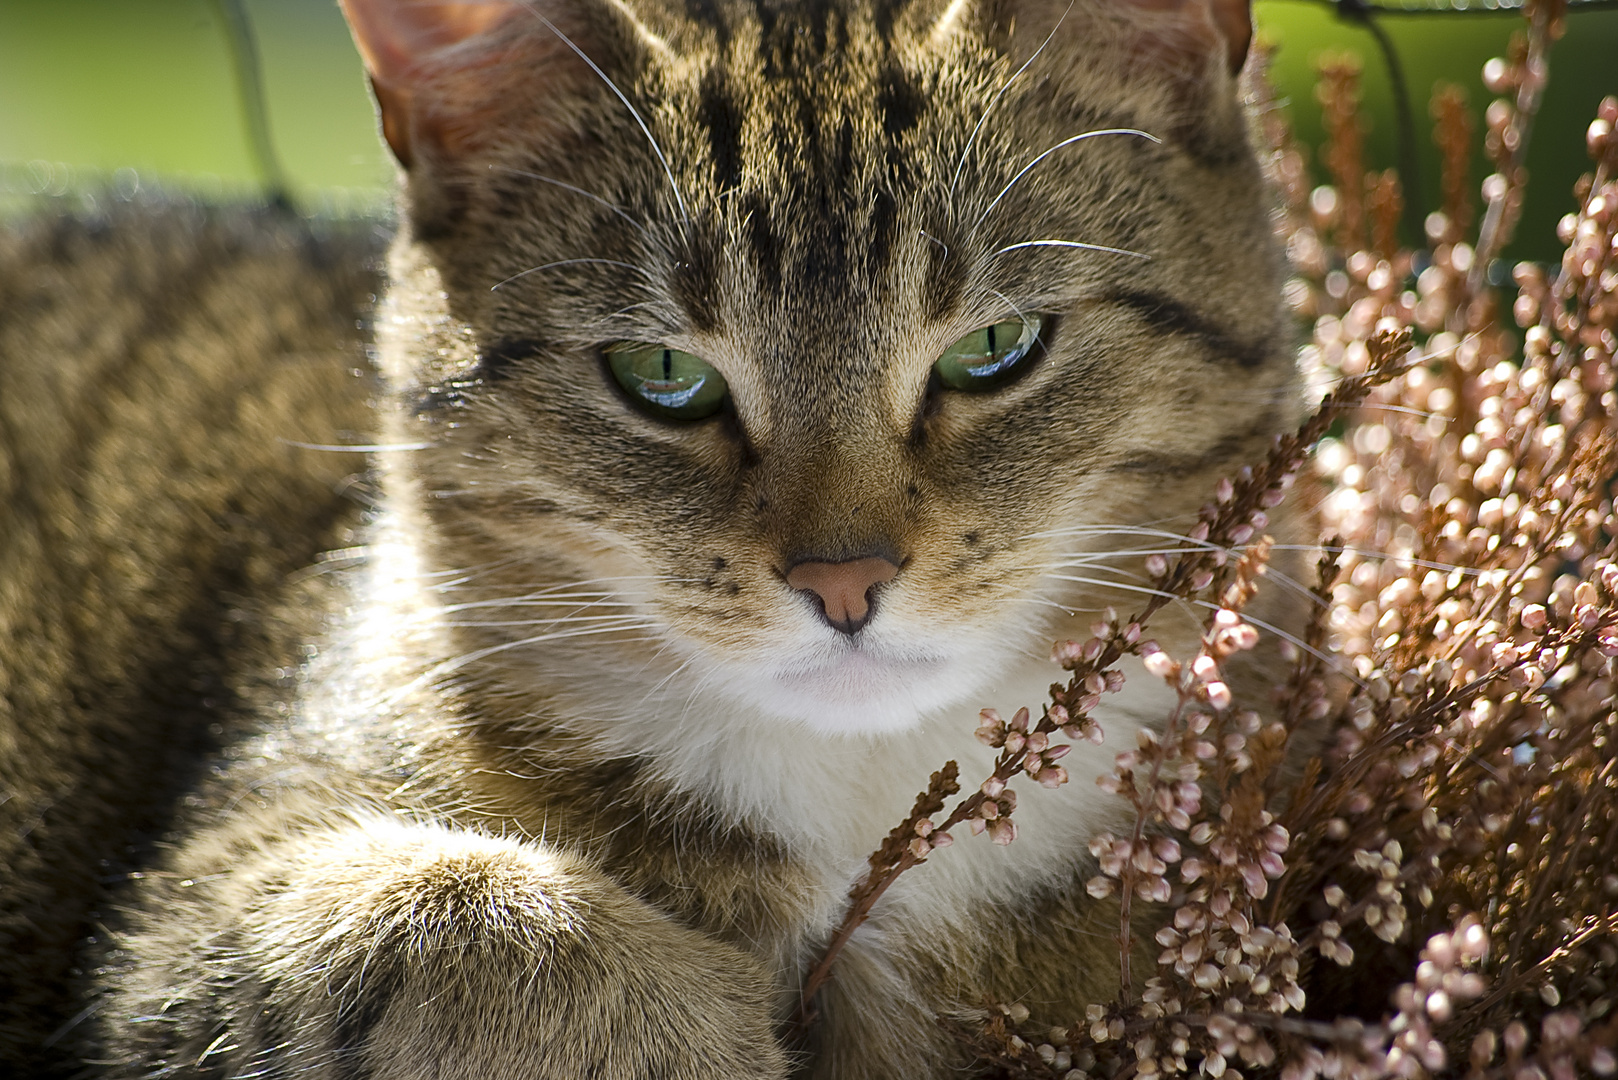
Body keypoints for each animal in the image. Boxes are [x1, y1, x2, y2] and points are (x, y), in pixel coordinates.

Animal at [0, 0, 1307, 1075]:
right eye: (664, 376)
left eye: (995, 349)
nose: (844, 578)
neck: (855, 799)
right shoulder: (183, 918)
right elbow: (428, 922)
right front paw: (685, 1019)